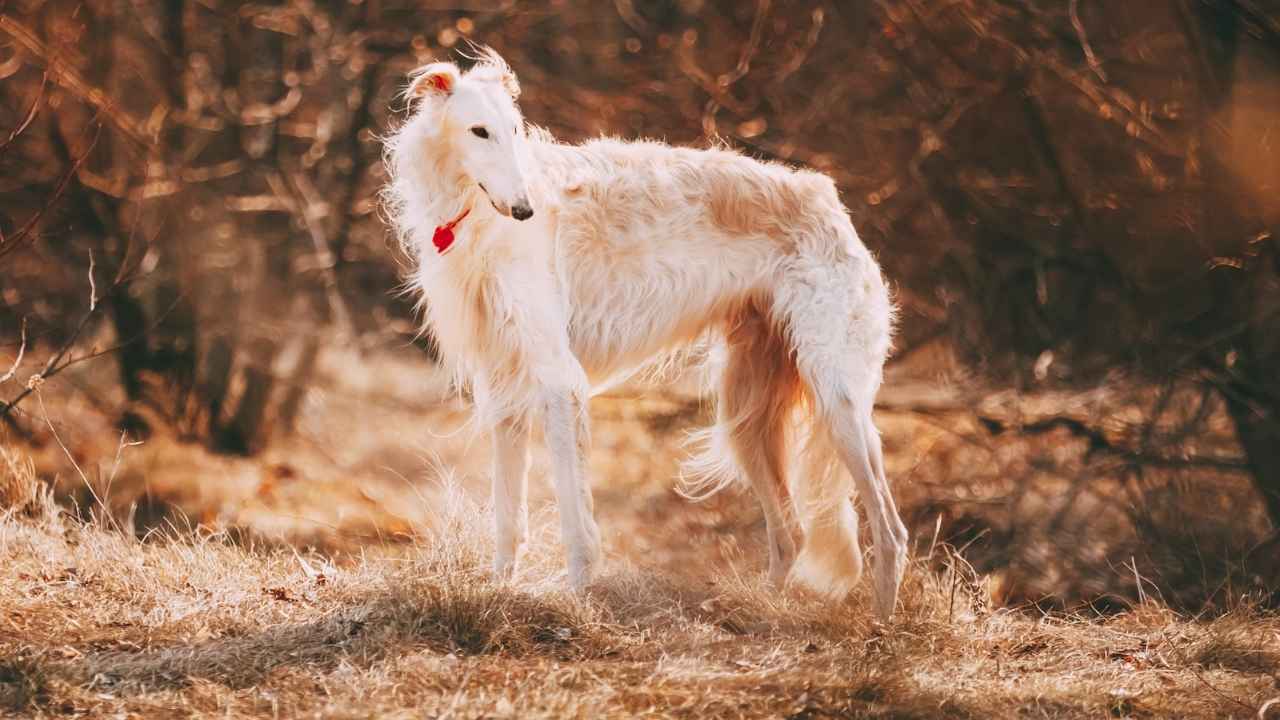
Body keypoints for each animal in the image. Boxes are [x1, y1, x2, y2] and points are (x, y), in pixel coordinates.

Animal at [381, 47, 911, 620]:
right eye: (479, 131)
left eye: (515, 129)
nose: (524, 210)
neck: (474, 213)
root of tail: (829, 200)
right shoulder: (505, 387)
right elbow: (508, 517)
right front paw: (498, 592)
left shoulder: (560, 381)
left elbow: (576, 520)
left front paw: (576, 598)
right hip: (746, 414)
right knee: (790, 532)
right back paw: (762, 612)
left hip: (838, 402)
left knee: (889, 530)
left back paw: (881, 627)